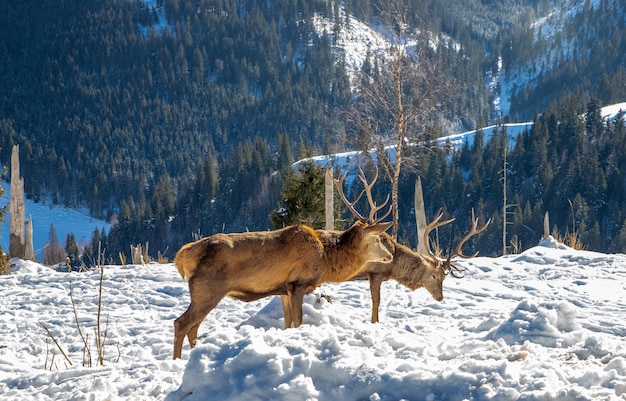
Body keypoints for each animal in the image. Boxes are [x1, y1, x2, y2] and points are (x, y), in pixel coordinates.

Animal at [171, 220, 392, 358]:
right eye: (378, 238)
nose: (390, 256)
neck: (326, 261)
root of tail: (182, 256)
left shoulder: (284, 290)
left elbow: (287, 321)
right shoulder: (297, 284)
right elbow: (299, 320)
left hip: (204, 294)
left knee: (194, 327)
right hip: (208, 290)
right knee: (181, 323)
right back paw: (178, 360)